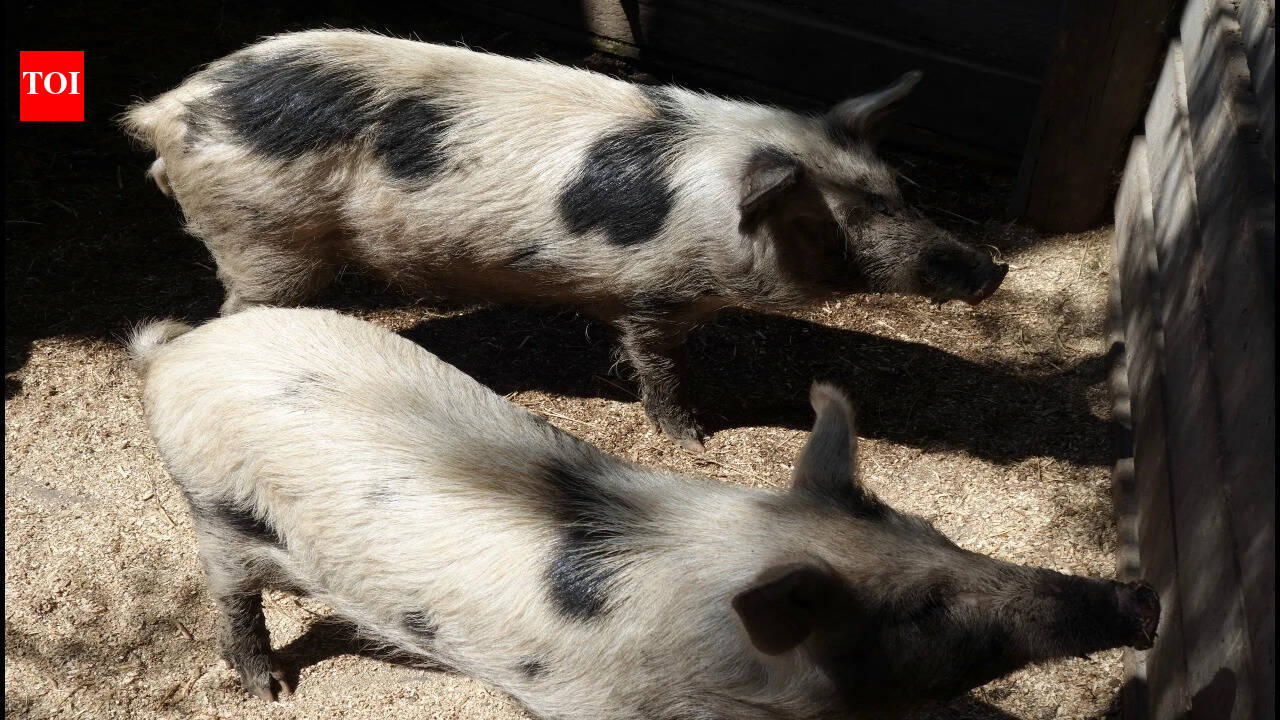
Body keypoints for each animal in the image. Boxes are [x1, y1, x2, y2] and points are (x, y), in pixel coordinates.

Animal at [122, 30, 1009, 452]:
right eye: (839, 223)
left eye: (898, 194)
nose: (993, 268)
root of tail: (168, 110)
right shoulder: (653, 293)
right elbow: (659, 366)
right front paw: (693, 434)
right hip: (264, 236)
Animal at [130, 307, 1156, 719]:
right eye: (923, 613)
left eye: (940, 536)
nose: (1141, 599)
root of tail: (175, 355)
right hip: (215, 511)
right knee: (233, 596)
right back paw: (269, 688)